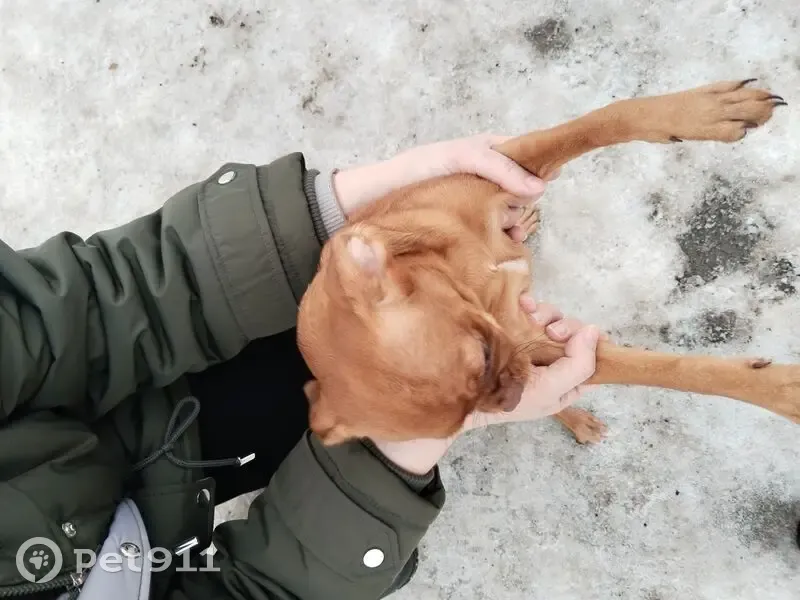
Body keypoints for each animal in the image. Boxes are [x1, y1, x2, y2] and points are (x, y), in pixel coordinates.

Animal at [297, 79, 797, 446]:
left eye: (482, 354)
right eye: (468, 418)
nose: (514, 397)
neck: (465, 275)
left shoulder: (504, 163)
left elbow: (602, 121)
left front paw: (705, 111)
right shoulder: (543, 344)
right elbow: (667, 370)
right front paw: (780, 390)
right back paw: (576, 418)